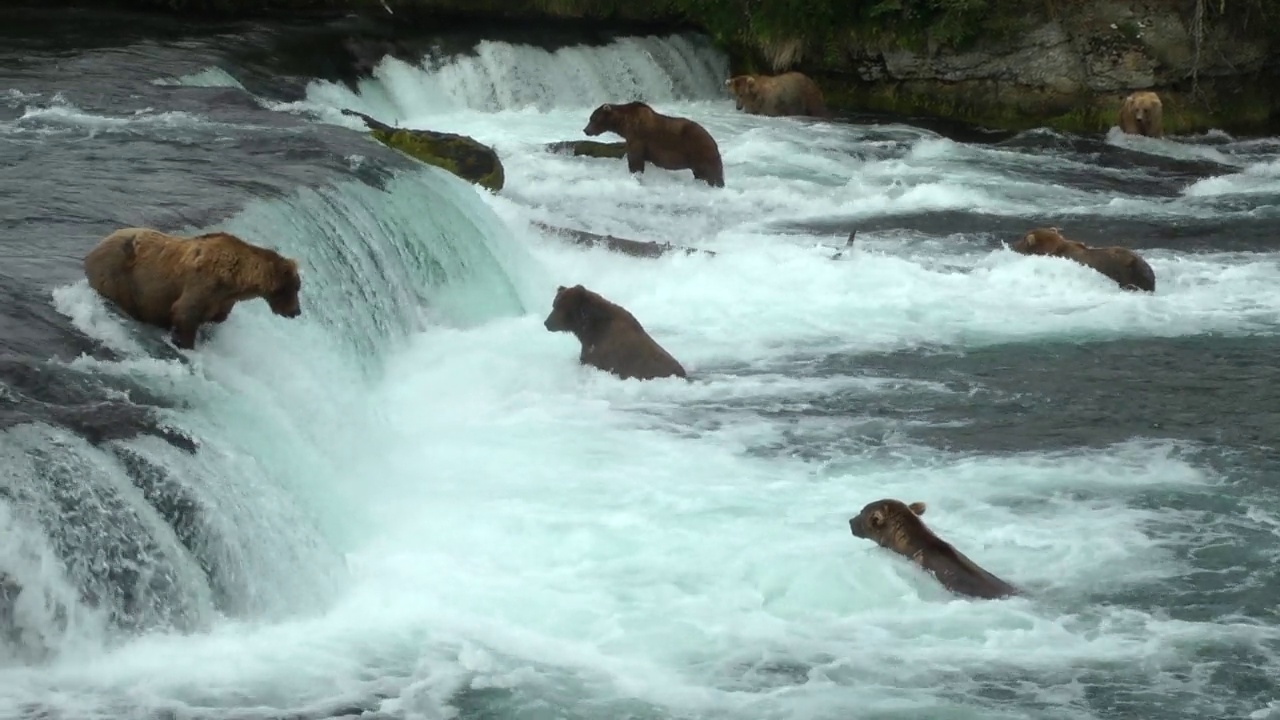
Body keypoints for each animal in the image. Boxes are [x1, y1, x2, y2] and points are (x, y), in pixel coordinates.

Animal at [83, 224, 302, 348]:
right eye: (295, 288)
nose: (296, 311)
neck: (236, 279)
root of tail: (92, 250)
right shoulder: (203, 284)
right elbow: (185, 313)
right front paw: (185, 342)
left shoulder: (222, 299)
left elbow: (217, 316)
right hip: (117, 276)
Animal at [583, 103, 727, 189]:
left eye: (592, 118)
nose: (585, 130)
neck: (624, 123)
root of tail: (713, 141)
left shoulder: (638, 137)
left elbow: (635, 159)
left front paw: (635, 174)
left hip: (700, 151)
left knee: (711, 174)